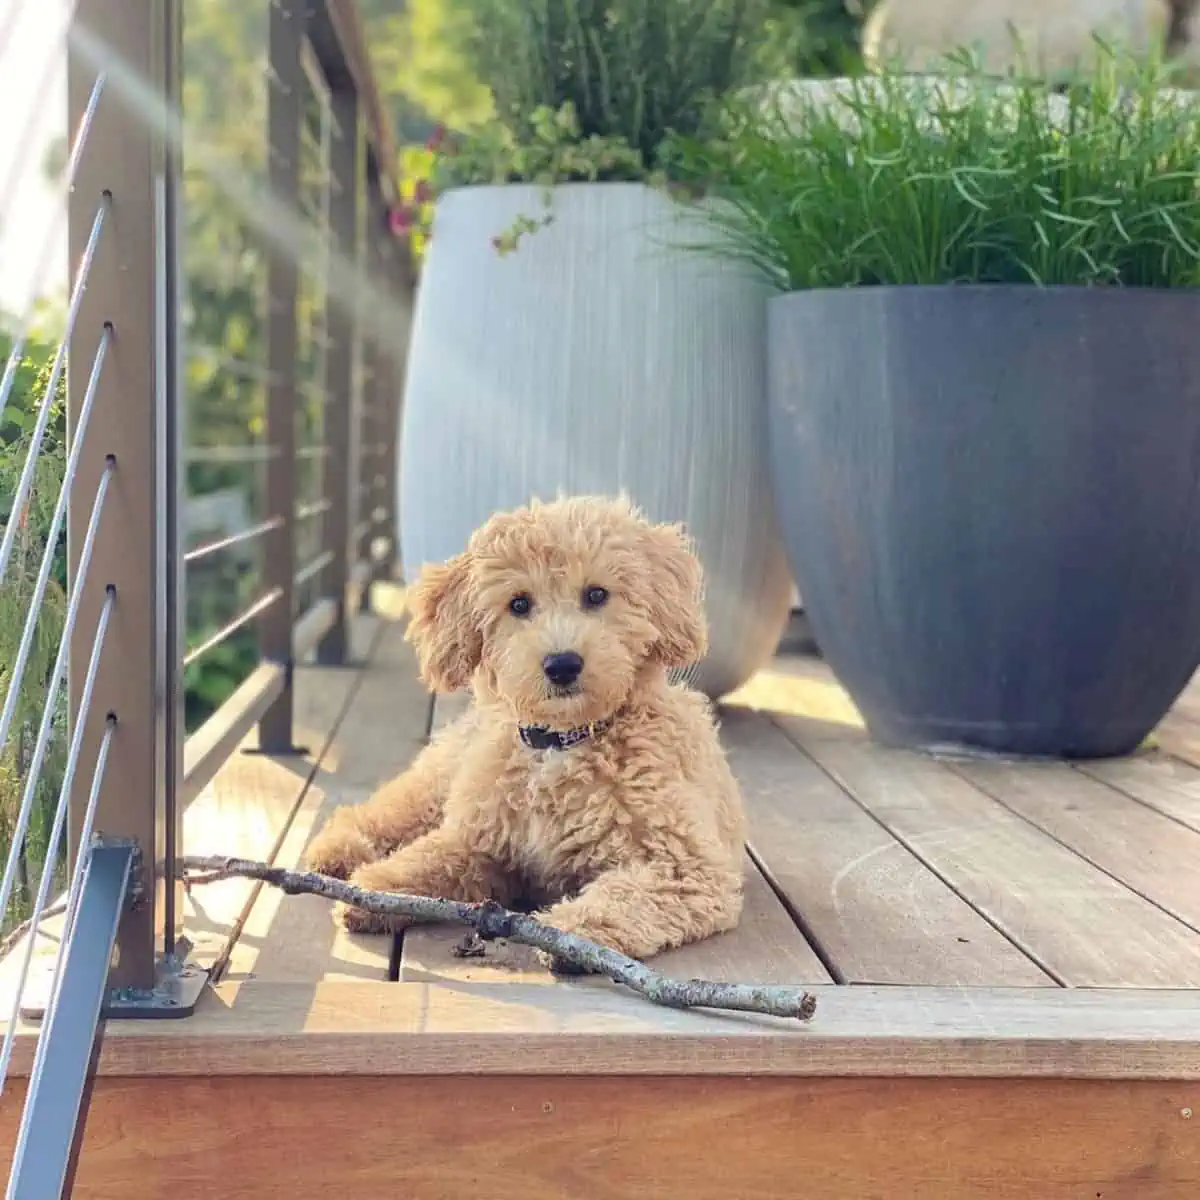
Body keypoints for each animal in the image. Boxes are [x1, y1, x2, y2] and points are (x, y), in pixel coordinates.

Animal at [304, 492, 744, 960]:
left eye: (596, 594)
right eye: (518, 604)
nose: (563, 664)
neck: (561, 743)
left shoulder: (686, 867)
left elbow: (627, 895)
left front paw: (573, 931)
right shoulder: (477, 839)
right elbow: (426, 856)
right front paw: (375, 890)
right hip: (439, 781)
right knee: (382, 811)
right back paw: (338, 850)